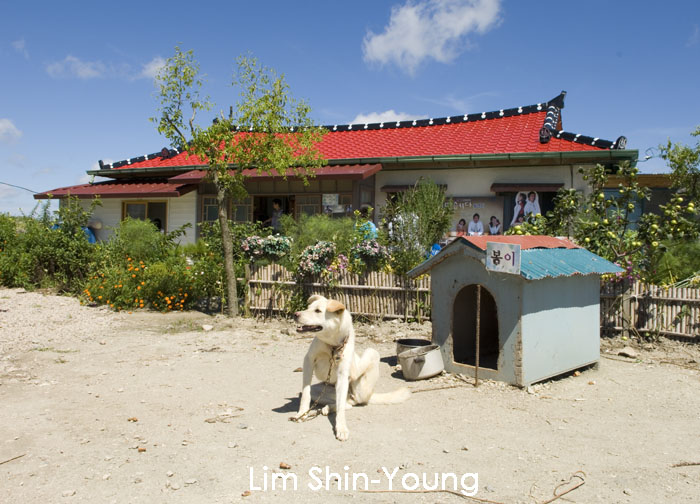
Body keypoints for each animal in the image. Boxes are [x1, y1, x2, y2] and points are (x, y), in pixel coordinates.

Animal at [294, 296, 410, 440]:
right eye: (308, 308)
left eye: (318, 311)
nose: (295, 314)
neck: (332, 345)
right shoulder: (308, 361)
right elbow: (305, 392)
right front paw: (302, 413)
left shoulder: (342, 375)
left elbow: (340, 410)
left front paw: (341, 428)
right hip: (319, 392)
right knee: (346, 403)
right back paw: (325, 408)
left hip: (370, 358)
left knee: (348, 403)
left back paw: (329, 408)